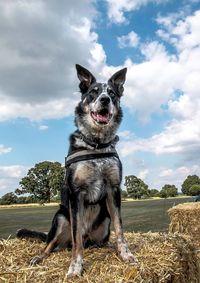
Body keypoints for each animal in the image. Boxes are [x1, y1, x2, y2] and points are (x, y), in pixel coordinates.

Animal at [16, 63, 136, 278]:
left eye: (112, 93)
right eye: (93, 92)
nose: (105, 100)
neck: (96, 145)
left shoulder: (114, 189)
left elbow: (120, 229)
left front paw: (125, 254)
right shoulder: (76, 193)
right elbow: (76, 238)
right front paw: (75, 267)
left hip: (104, 223)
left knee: (97, 240)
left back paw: (107, 247)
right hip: (61, 218)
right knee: (53, 245)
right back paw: (39, 257)